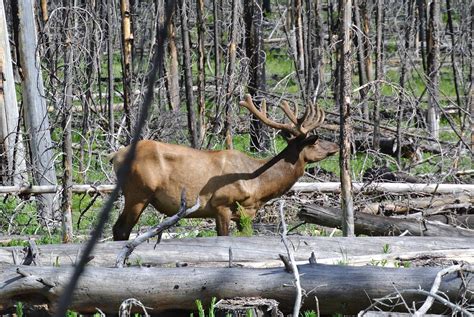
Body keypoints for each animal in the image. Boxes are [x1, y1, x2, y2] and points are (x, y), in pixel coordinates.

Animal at [110, 94, 336, 239]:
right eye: (315, 141)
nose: (336, 146)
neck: (259, 185)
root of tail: (115, 156)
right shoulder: (221, 204)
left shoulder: (247, 213)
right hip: (138, 192)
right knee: (120, 229)